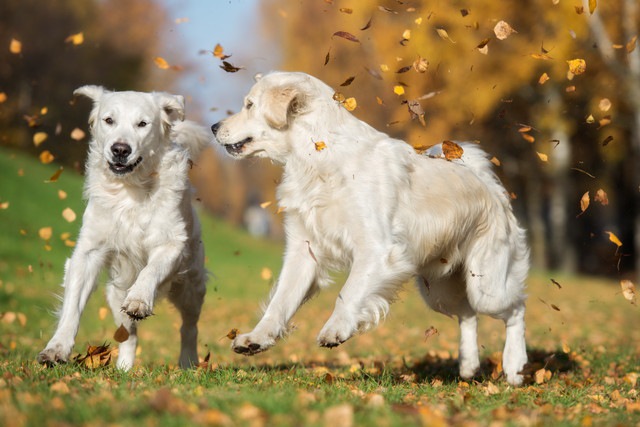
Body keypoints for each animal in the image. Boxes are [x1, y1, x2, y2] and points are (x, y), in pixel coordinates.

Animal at [37, 87, 210, 372]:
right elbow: (72, 307)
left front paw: (139, 299)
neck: (130, 189)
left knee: (189, 327)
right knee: (128, 333)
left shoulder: (171, 243)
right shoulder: (89, 251)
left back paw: (187, 362)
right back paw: (124, 369)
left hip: (190, 287)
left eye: (142, 124)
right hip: (116, 293)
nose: (120, 149)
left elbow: (150, 270)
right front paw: (56, 349)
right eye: (109, 120)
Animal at [211, 72, 528, 386]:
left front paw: (336, 328)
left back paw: (514, 367)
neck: (318, 159)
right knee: (468, 314)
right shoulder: (304, 251)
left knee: (515, 309)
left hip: (486, 286)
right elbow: (280, 302)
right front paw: (256, 338)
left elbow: (348, 292)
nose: (214, 127)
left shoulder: (376, 250)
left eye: (250, 105)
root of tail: (488, 182)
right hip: (439, 291)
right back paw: (468, 366)